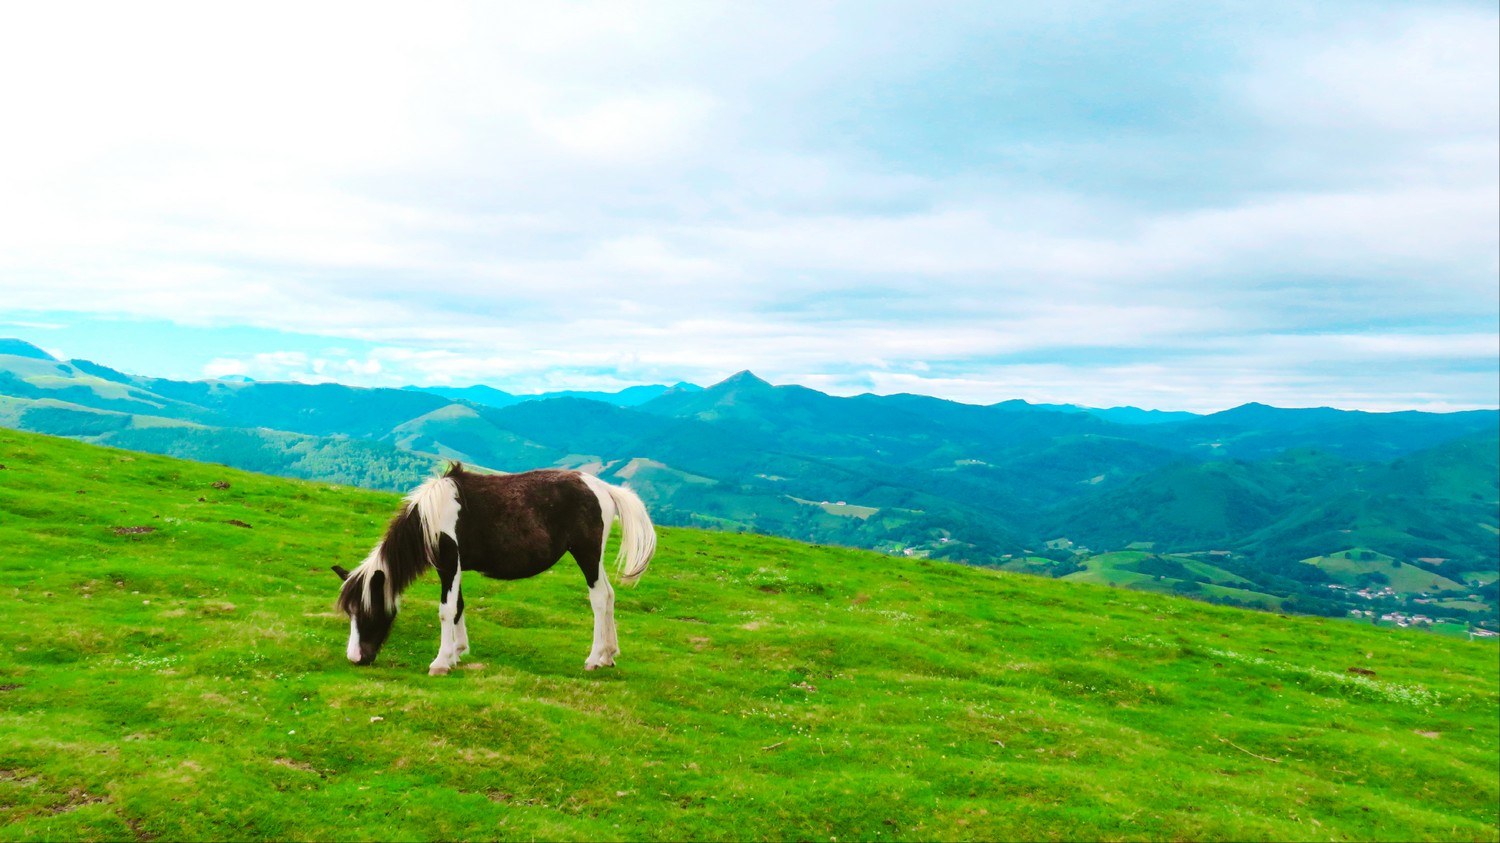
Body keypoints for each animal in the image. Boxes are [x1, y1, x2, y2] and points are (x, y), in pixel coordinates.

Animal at [332, 462, 656, 675]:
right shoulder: (452, 568)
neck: (431, 517)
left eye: (367, 611)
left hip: (586, 554)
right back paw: (608, 656)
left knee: (599, 599)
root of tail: (605, 489)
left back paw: (593, 658)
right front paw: (457, 653)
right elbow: (459, 607)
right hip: (594, 559)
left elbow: (446, 610)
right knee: (610, 596)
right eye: (350, 613)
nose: (355, 657)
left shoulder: (449, 564)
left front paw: (441, 662)